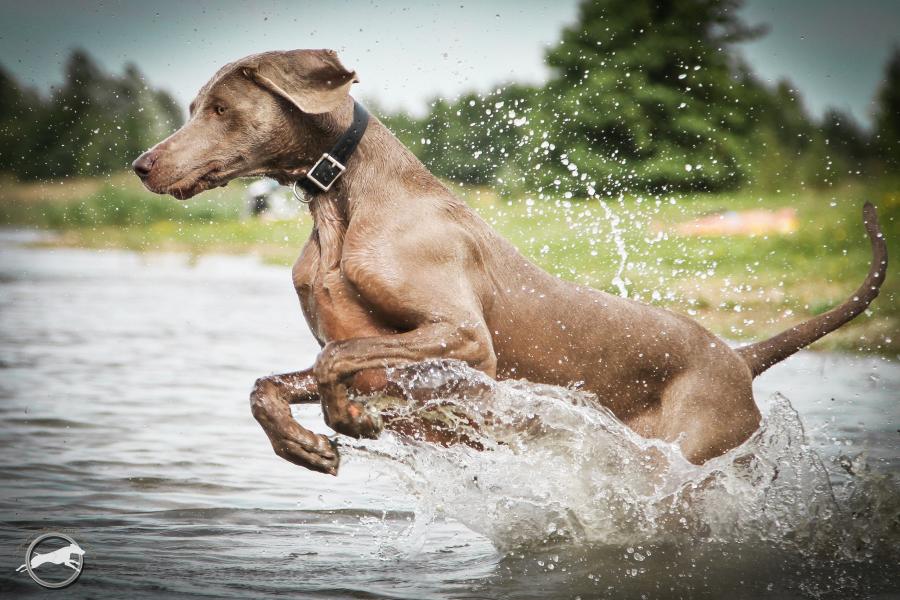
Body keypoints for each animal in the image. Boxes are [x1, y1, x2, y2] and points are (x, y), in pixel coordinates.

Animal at [134, 49, 884, 476]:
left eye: (222, 109)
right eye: (194, 106)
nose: (141, 164)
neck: (341, 206)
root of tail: (738, 358)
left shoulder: (466, 340)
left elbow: (332, 361)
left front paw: (345, 416)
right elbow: (271, 384)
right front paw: (304, 442)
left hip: (683, 461)